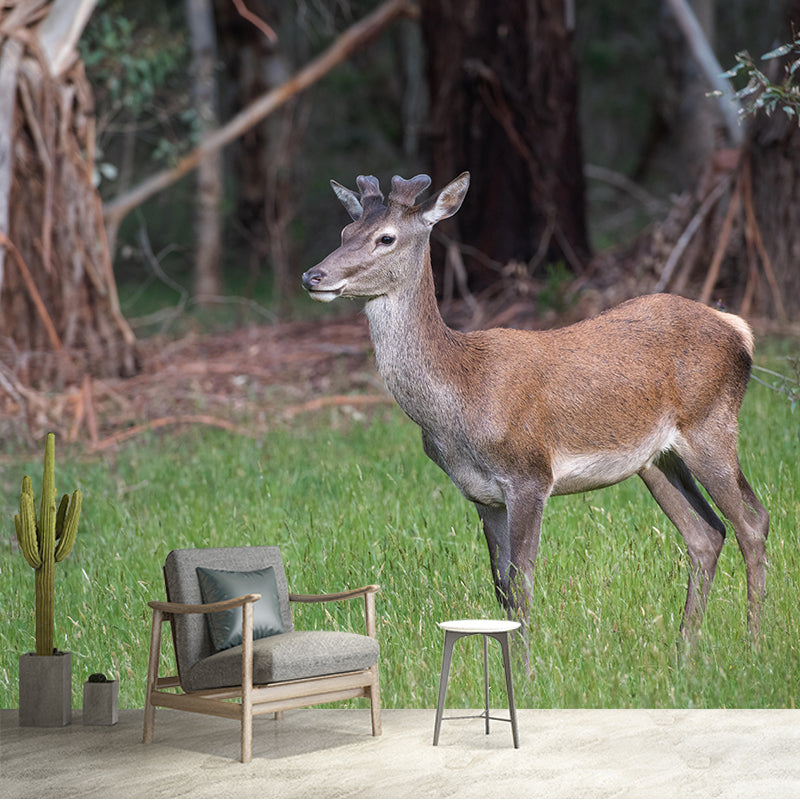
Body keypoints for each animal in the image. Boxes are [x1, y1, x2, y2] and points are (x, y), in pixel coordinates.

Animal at [301, 171, 769, 640]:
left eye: (386, 237)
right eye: (345, 232)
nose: (312, 275)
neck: (459, 397)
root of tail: (739, 329)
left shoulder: (529, 475)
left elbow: (522, 581)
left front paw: (526, 659)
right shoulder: (481, 494)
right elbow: (501, 586)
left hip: (710, 424)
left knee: (751, 523)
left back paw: (753, 641)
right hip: (655, 459)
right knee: (707, 534)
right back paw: (685, 647)